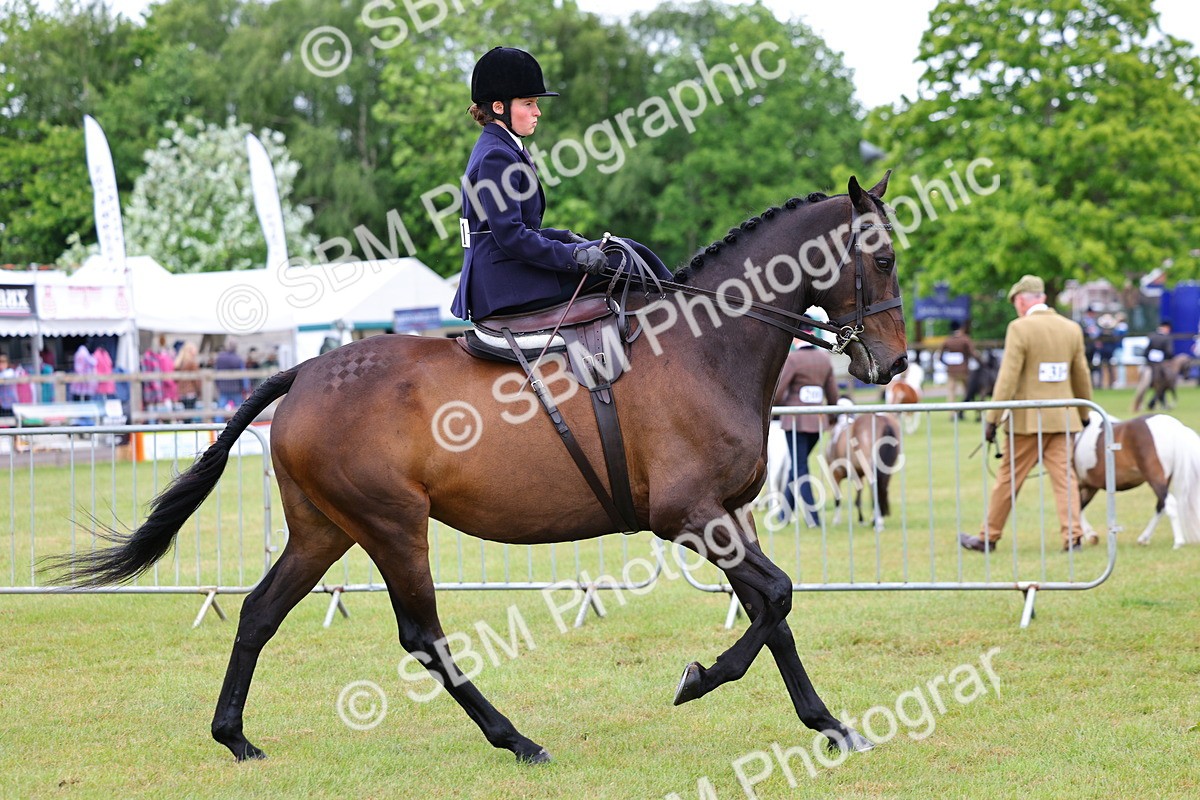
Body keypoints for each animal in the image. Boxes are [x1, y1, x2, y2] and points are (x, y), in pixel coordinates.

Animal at [46, 175, 907, 764]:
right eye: (885, 256)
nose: (893, 363)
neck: (703, 345)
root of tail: (307, 373)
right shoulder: (691, 516)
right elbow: (777, 598)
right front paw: (700, 678)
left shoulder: (730, 515)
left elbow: (773, 610)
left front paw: (827, 723)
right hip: (393, 526)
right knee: (422, 635)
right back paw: (516, 739)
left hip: (324, 529)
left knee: (259, 612)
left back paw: (235, 737)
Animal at [1073, 413, 1200, 548]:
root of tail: (1175, 427)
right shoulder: (1090, 487)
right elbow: (1079, 507)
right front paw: (1089, 536)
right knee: (1161, 506)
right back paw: (1144, 538)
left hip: (1155, 479)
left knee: (1169, 503)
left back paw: (1178, 542)